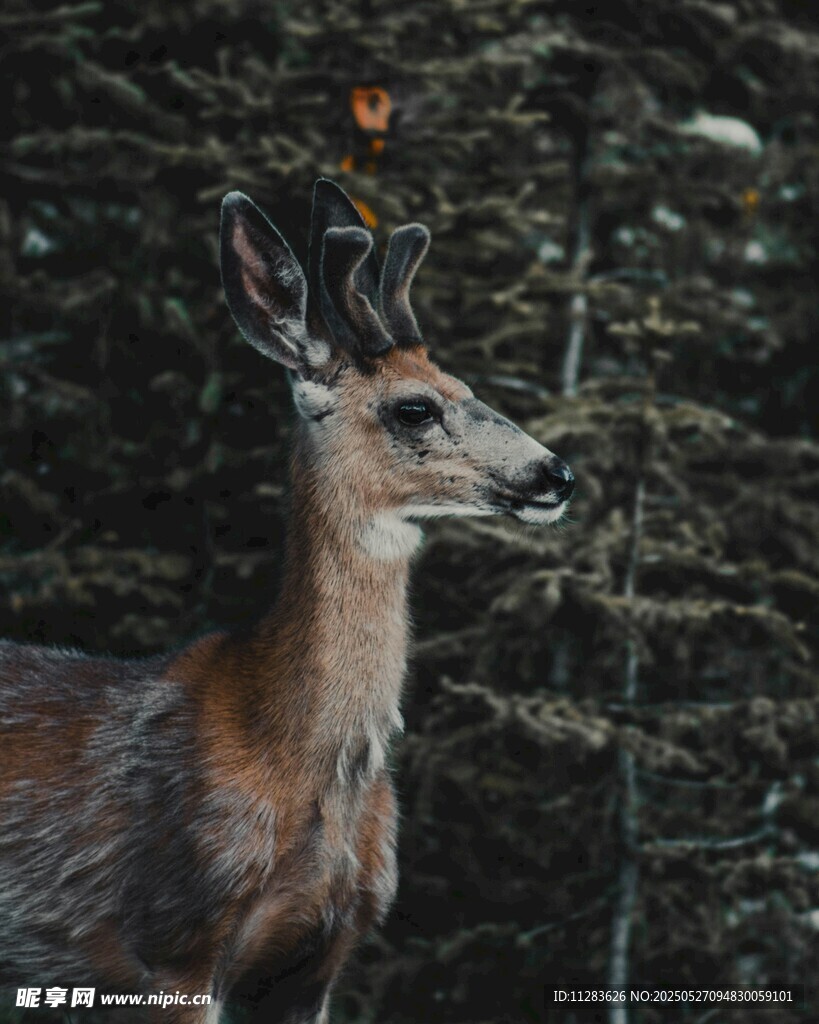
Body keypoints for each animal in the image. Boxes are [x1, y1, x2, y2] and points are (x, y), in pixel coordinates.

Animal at [0, 180, 574, 1023]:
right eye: (414, 407)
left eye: (469, 390)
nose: (554, 474)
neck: (297, 756)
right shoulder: (174, 941)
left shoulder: (316, 962)